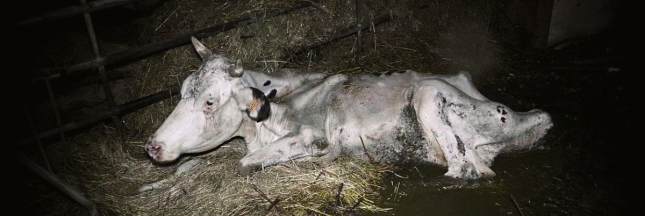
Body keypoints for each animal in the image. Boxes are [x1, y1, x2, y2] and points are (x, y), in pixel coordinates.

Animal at [143, 36, 552, 179]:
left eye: (210, 101)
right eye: (182, 90)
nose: (153, 146)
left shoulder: (310, 135)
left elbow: (246, 163)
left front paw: (320, 158)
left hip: (429, 93)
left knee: (465, 169)